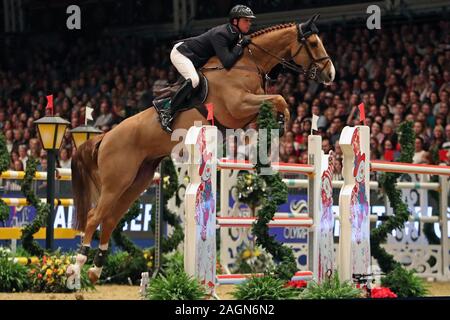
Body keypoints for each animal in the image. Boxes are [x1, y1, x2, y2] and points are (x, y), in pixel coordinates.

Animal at [69, 13, 334, 282]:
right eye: (314, 44)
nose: (331, 74)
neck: (247, 64)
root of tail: (105, 137)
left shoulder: (248, 111)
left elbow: (277, 103)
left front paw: (279, 123)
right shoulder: (238, 106)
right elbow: (279, 99)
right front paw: (282, 120)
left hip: (137, 180)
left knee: (110, 218)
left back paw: (95, 269)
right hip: (116, 181)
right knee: (94, 217)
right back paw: (76, 267)